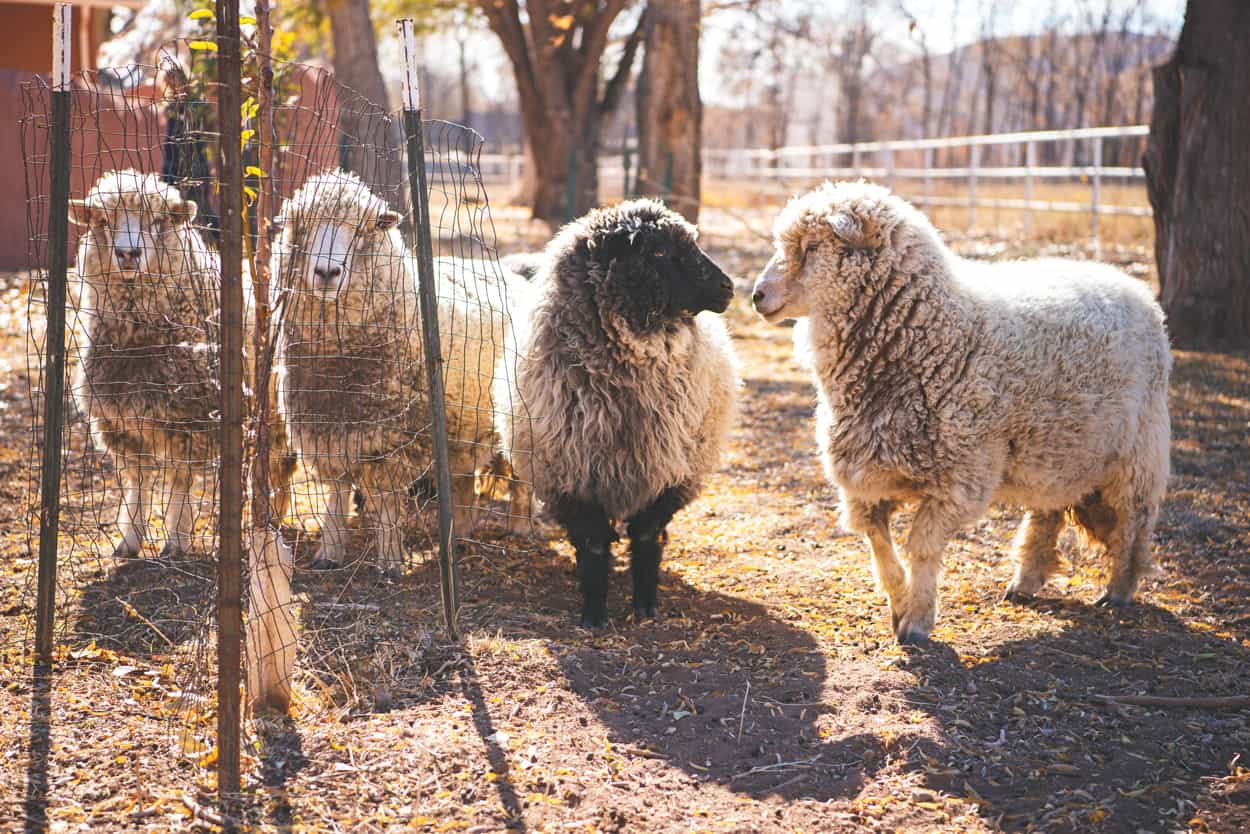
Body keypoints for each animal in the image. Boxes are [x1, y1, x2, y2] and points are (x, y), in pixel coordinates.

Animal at [70, 167, 297, 560]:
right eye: (102, 221)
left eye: (158, 221)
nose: (128, 253)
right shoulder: (120, 423)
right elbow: (138, 482)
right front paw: (130, 539)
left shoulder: (189, 421)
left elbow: (179, 480)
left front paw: (176, 539)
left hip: (276, 409)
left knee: (279, 462)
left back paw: (274, 518)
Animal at [275, 170, 522, 575]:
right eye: (303, 226)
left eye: (364, 229)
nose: (327, 271)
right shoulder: (327, 428)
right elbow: (336, 496)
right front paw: (329, 551)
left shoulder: (392, 439)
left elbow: (386, 502)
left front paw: (390, 559)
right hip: (461, 428)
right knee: (462, 481)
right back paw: (460, 536)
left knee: (521, 479)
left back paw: (521, 525)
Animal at [490, 198, 740, 622]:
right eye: (657, 251)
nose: (728, 287)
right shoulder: (572, 477)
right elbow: (592, 546)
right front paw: (593, 614)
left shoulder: (670, 474)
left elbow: (646, 538)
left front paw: (646, 606)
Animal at [750, 180, 1170, 645]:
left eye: (811, 247)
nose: (756, 296)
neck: (930, 334)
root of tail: (1130, 283)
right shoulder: (866, 477)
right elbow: (880, 546)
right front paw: (898, 603)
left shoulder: (959, 479)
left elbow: (921, 546)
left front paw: (917, 619)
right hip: (1057, 447)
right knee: (1047, 512)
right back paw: (1024, 582)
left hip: (1140, 449)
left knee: (1134, 521)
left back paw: (1118, 590)